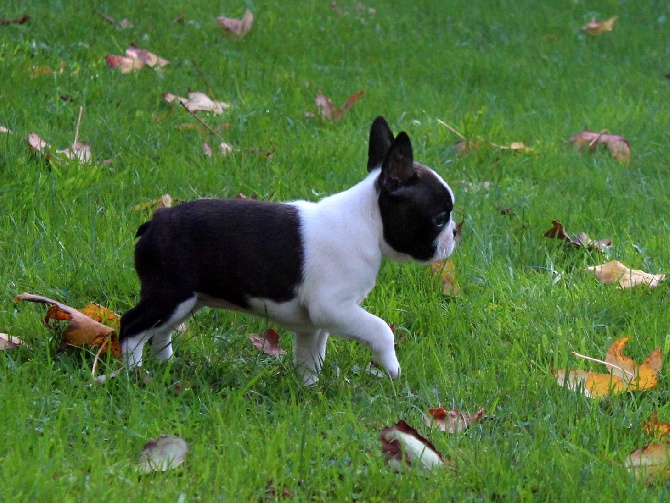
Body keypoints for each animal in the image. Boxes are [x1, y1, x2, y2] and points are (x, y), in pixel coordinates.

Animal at [119, 117, 456, 386]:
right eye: (440, 218)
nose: (455, 233)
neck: (367, 222)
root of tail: (154, 221)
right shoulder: (332, 307)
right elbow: (381, 329)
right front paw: (393, 368)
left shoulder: (316, 322)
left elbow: (310, 355)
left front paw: (309, 390)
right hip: (170, 294)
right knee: (131, 326)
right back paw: (134, 374)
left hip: (189, 301)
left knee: (161, 332)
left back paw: (165, 368)